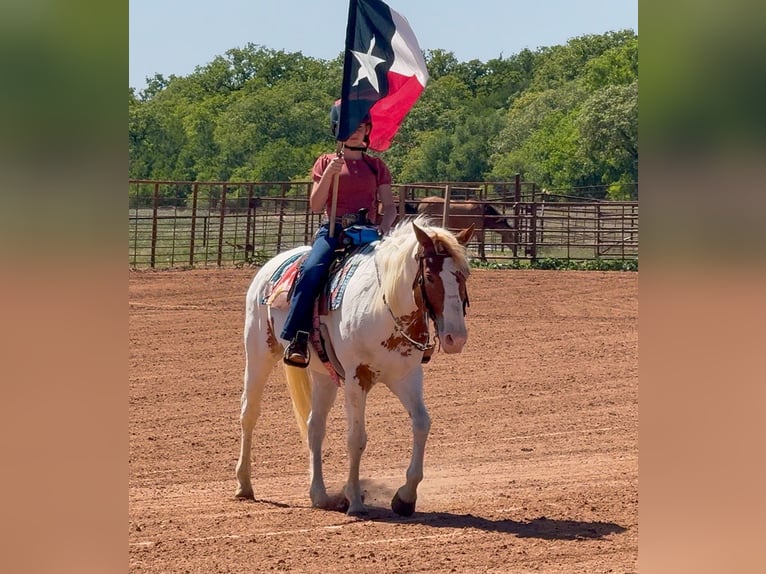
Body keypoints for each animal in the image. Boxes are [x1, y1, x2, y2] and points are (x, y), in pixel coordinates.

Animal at [235, 216, 475, 516]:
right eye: (430, 277)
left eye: (464, 276)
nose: (456, 338)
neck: (383, 307)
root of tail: (272, 264)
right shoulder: (356, 378)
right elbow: (356, 439)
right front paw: (355, 501)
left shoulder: (406, 376)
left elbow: (421, 424)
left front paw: (405, 497)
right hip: (258, 353)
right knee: (249, 414)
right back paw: (244, 484)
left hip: (323, 375)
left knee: (315, 426)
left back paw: (319, 495)